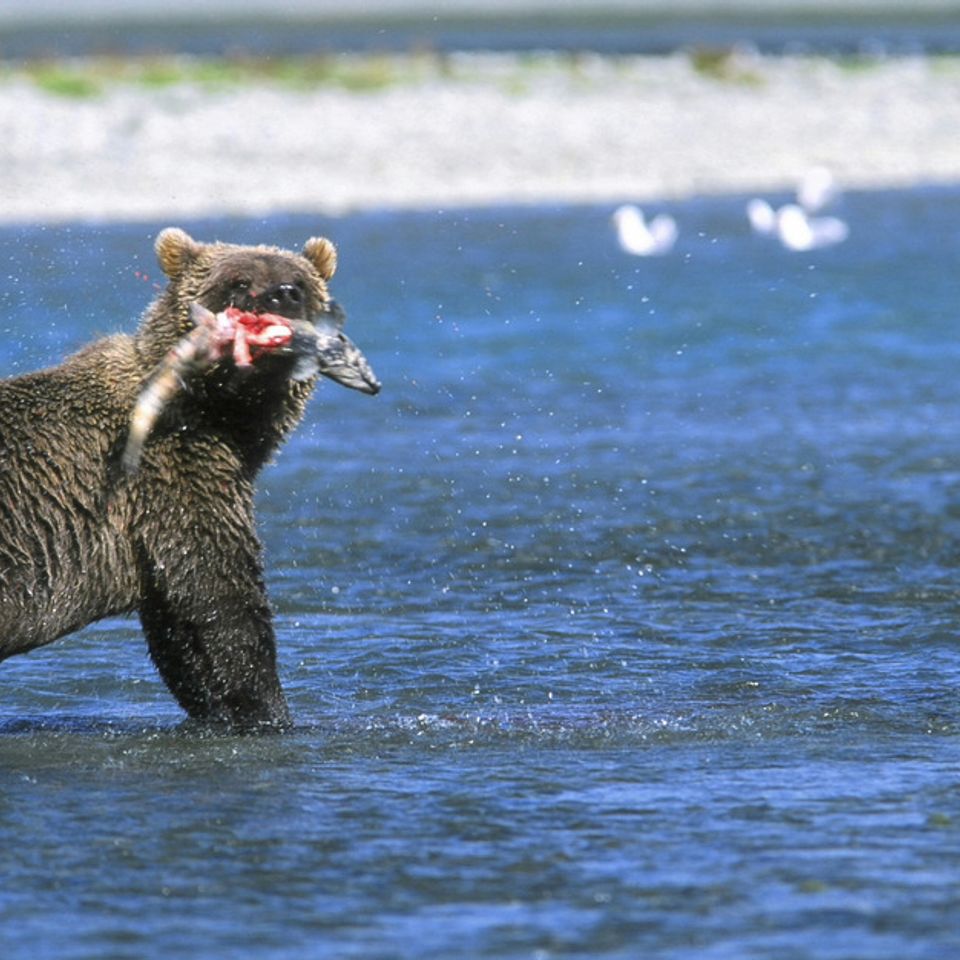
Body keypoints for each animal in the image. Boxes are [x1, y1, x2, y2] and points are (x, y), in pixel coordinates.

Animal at [0, 227, 379, 731]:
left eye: (298, 284)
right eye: (239, 281)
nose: (281, 295)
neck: (216, 411)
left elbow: (181, 637)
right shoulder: (175, 476)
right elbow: (219, 600)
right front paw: (270, 712)